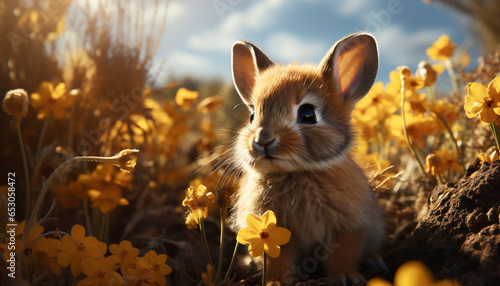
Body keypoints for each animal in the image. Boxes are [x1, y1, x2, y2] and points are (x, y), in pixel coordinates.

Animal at [225, 33, 384, 284]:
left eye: (307, 114)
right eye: (252, 116)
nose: (263, 140)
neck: (297, 172)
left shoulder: (349, 229)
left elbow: (344, 254)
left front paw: (346, 277)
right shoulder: (272, 234)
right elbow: (277, 259)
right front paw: (277, 282)